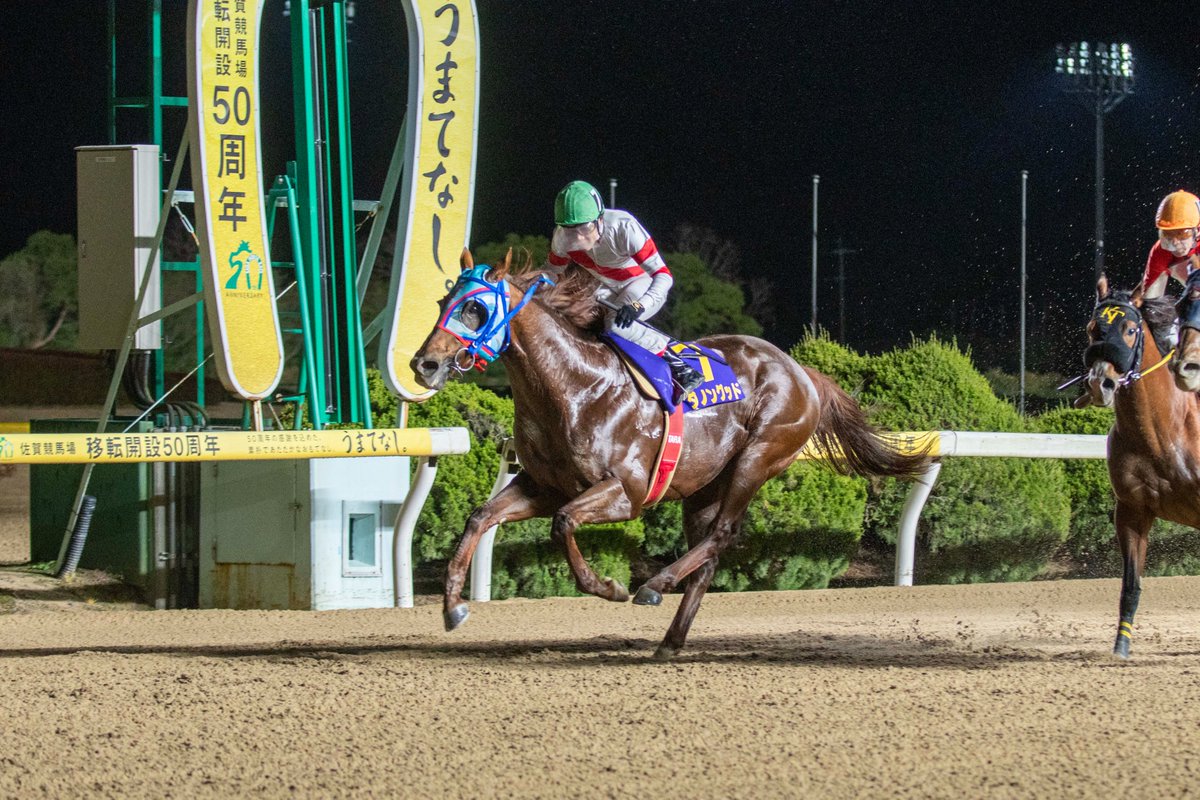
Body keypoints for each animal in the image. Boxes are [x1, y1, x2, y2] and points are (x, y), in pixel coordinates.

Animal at [410, 250, 926, 657]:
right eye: (441, 303)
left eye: (474, 308)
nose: (424, 364)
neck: (574, 386)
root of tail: (800, 371)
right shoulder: (543, 486)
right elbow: (480, 518)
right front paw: (454, 607)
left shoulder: (626, 492)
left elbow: (564, 523)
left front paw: (608, 587)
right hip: (704, 487)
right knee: (709, 551)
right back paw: (670, 639)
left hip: (758, 458)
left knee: (722, 535)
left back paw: (654, 586)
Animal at [1080, 275, 1200, 657]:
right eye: (1093, 329)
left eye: (1130, 329)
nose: (1100, 383)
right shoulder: (1132, 510)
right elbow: (1131, 584)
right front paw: (1120, 646)